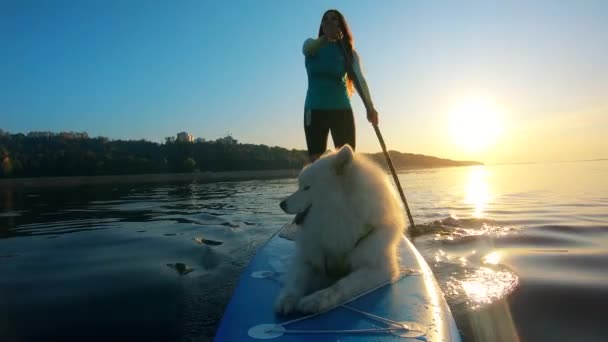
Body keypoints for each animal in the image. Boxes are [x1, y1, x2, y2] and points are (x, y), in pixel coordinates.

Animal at [278, 144, 406, 316]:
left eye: (307, 187)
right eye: (300, 186)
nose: (282, 204)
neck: (338, 218)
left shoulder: (380, 267)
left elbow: (342, 284)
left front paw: (317, 299)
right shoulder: (310, 256)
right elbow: (297, 277)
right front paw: (288, 298)